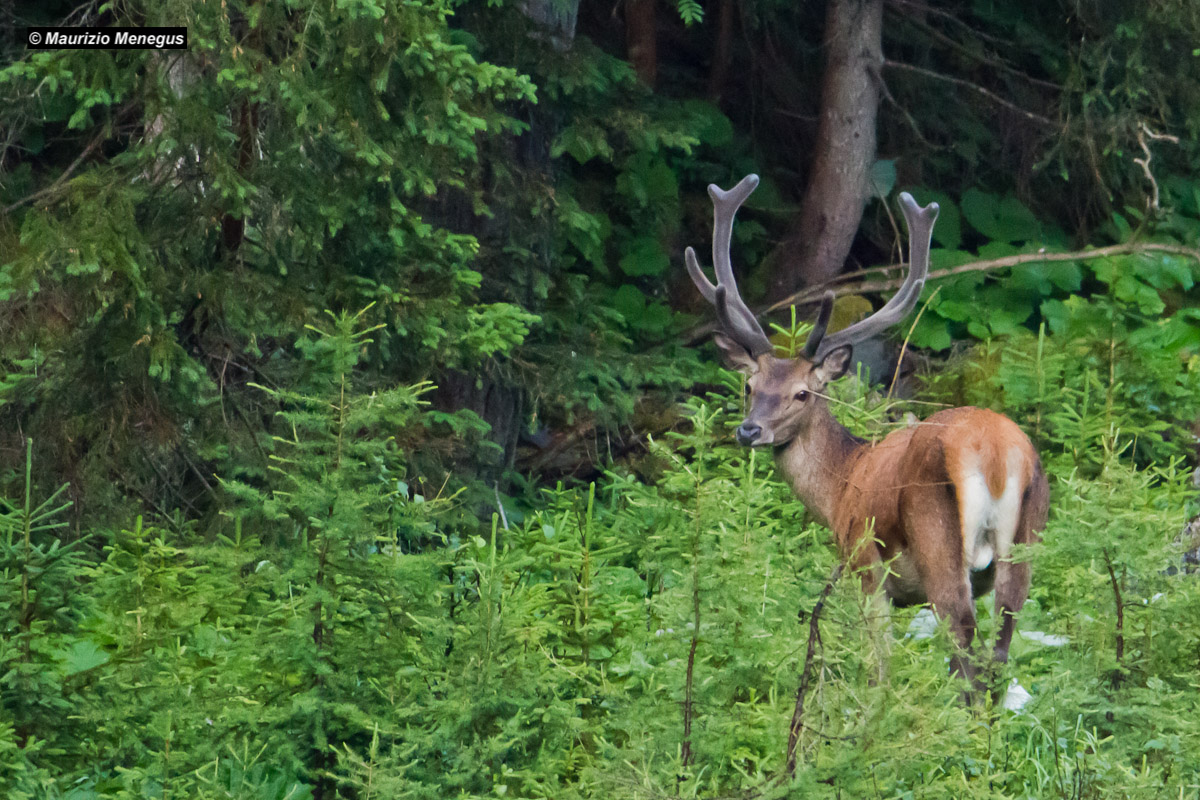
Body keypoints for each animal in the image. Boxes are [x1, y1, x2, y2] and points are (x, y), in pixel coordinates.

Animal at [684, 174, 1049, 689]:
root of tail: (997, 455)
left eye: (802, 393)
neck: (840, 485)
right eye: (750, 386)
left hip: (937, 537)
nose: (749, 431)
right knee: (999, 649)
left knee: (962, 643)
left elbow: (879, 662)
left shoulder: (863, 559)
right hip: (1026, 537)